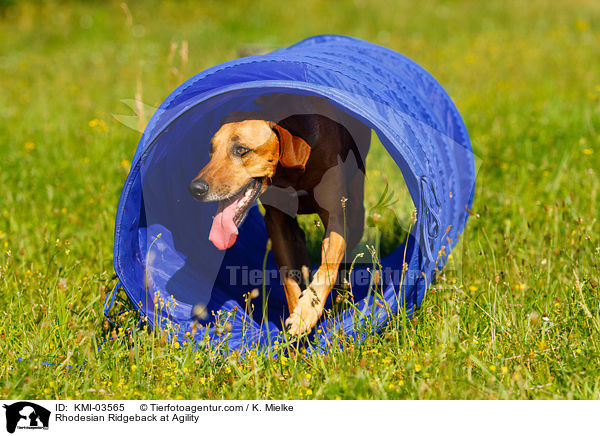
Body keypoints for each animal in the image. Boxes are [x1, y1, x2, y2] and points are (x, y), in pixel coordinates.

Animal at [189, 96, 370, 334]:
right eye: (211, 149)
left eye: (241, 150)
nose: (195, 189)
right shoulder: (277, 222)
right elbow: (290, 279)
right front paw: (298, 322)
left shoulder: (336, 218)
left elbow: (327, 269)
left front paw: (306, 313)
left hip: (356, 209)